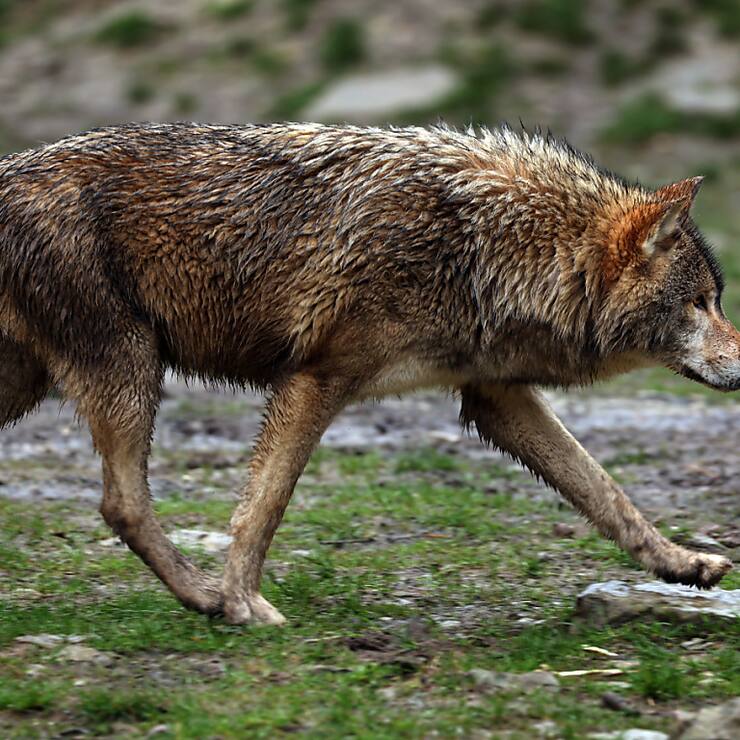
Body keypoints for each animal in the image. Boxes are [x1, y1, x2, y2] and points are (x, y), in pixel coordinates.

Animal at [0, 122, 737, 625]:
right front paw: (242, 602)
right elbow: (263, 508)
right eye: (702, 303)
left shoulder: (495, 397)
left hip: (41, 384)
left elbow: (608, 494)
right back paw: (206, 596)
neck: (488, 247)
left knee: (118, 504)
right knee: (123, 505)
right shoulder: (315, 379)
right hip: (130, 371)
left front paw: (684, 565)